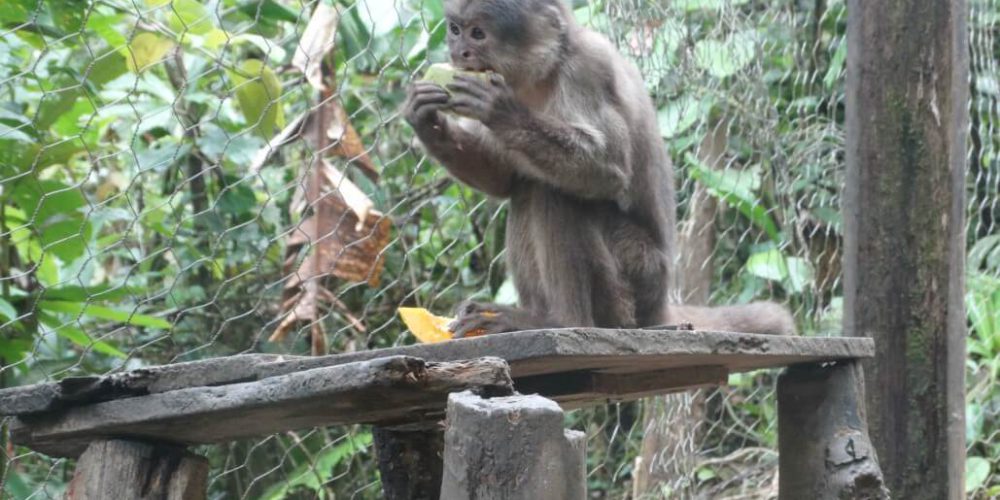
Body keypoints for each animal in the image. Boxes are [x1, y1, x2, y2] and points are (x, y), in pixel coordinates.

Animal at [400, 0, 796, 340]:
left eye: (477, 34)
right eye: (455, 30)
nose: (458, 53)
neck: (546, 72)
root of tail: (659, 306)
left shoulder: (587, 70)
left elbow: (609, 171)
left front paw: (501, 112)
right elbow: (503, 178)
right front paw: (426, 121)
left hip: (635, 280)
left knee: (551, 193)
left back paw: (559, 321)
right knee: (528, 187)